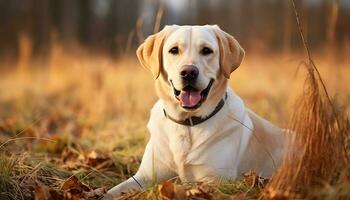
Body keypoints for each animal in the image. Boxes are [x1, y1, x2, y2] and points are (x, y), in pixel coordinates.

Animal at [107, 24, 288, 197]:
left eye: (206, 50)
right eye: (174, 50)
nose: (188, 72)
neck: (186, 122)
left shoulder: (215, 180)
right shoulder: (144, 176)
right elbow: (112, 192)